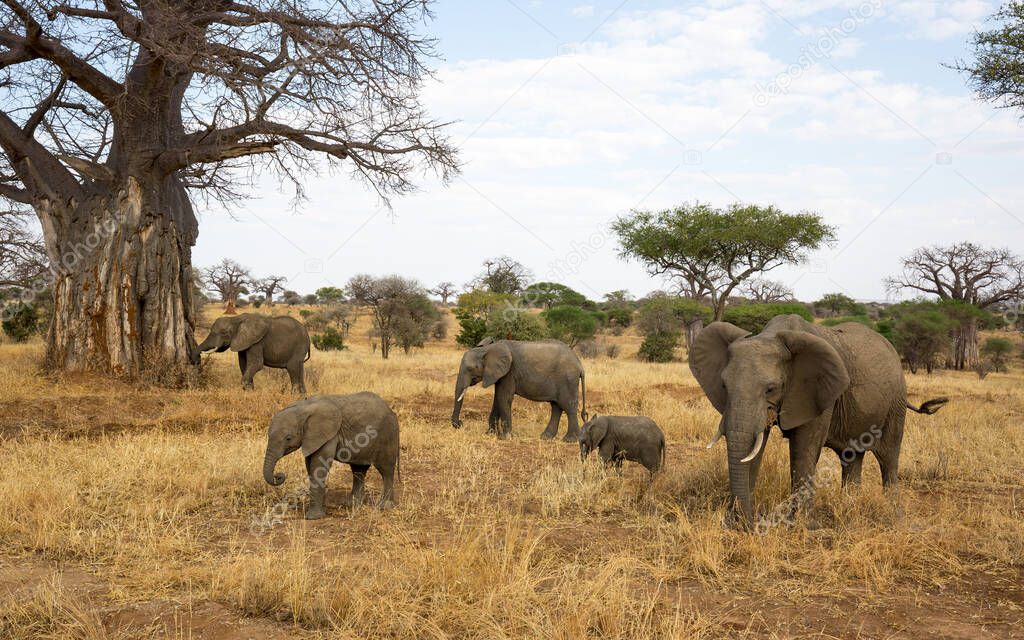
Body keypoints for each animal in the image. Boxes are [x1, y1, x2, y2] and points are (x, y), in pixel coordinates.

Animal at [260, 389, 399, 520]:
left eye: (288, 438)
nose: (279, 476)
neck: (303, 407)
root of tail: (391, 411)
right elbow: (310, 465)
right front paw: (322, 512)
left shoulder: (329, 434)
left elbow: (319, 464)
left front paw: (313, 517)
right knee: (358, 469)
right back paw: (352, 504)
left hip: (387, 435)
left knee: (386, 470)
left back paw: (384, 506)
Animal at [452, 337, 589, 442]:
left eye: (470, 369)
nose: (460, 424)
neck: (487, 349)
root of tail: (580, 365)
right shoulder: (501, 374)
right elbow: (497, 399)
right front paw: (490, 434)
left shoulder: (509, 373)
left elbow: (504, 398)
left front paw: (504, 437)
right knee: (556, 407)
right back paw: (545, 437)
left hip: (568, 380)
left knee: (568, 406)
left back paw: (569, 440)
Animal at [692, 311, 946, 528]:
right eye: (724, 386)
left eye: (771, 389)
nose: (748, 524)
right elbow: (754, 450)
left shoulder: (816, 392)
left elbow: (803, 449)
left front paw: (801, 526)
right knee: (852, 457)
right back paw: (850, 507)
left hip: (896, 402)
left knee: (888, 456)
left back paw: (893, 513)